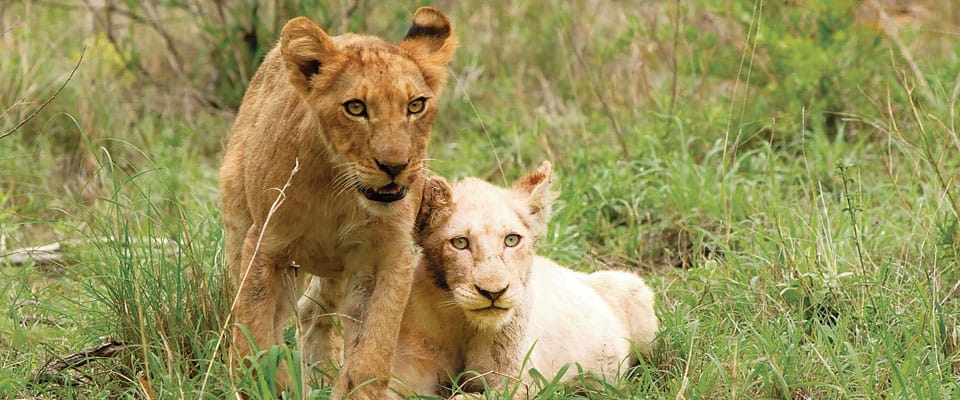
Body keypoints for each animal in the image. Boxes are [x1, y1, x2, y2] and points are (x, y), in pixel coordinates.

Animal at [218, 7, 456, 398]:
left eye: (415, 105)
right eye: (356, 108)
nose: (395, 166)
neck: (340, 195)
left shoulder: (388, 258)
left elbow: (370, 356)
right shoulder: (265, 247)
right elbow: (256, 337)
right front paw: (265, 385)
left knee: (313, 312)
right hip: (240, 221)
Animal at [387, 161, 659, 398]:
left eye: (511, 239)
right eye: (460, 242)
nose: (494, 293)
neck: (462, 323)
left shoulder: (518, 381)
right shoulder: (407, 368)